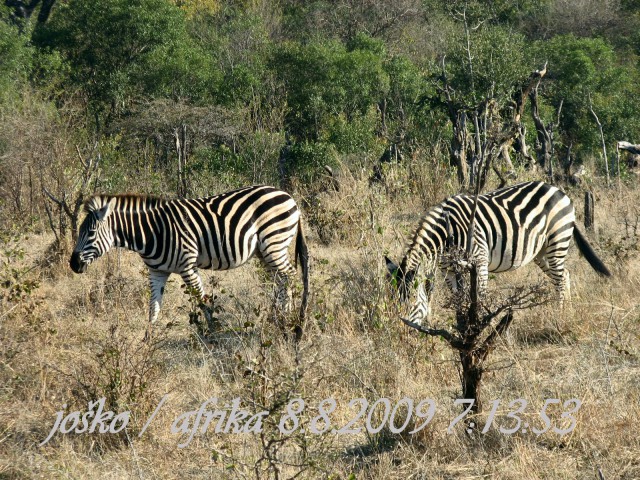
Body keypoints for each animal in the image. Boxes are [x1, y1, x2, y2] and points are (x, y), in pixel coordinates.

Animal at [70, 184, 310, 338]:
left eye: (90, 233)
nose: (73, 264)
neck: (151, 232)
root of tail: (288, 195)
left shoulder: (188, 265)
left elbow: (203, 302)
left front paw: (213, 335)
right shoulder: (157, 272)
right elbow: (153, 308)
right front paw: (146, 342)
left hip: (274, 243)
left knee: (289, 276)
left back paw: (290, 319)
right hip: (264, 250)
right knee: (280, 280)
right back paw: (278, 318)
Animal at [388, 181, 612, 326]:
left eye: (410, 302)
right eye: (393, 300)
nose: (400, 331)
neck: (447, 232)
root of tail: (557, 189)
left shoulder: (479, 261)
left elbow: (479, 297)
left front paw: (477, 327)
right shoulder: (448, 270)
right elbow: (458, 298)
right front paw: (462, 328)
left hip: (558, 239)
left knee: (559, 278)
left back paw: (559, 314)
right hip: (540, 252)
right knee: (564, 275)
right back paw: (568, 310)